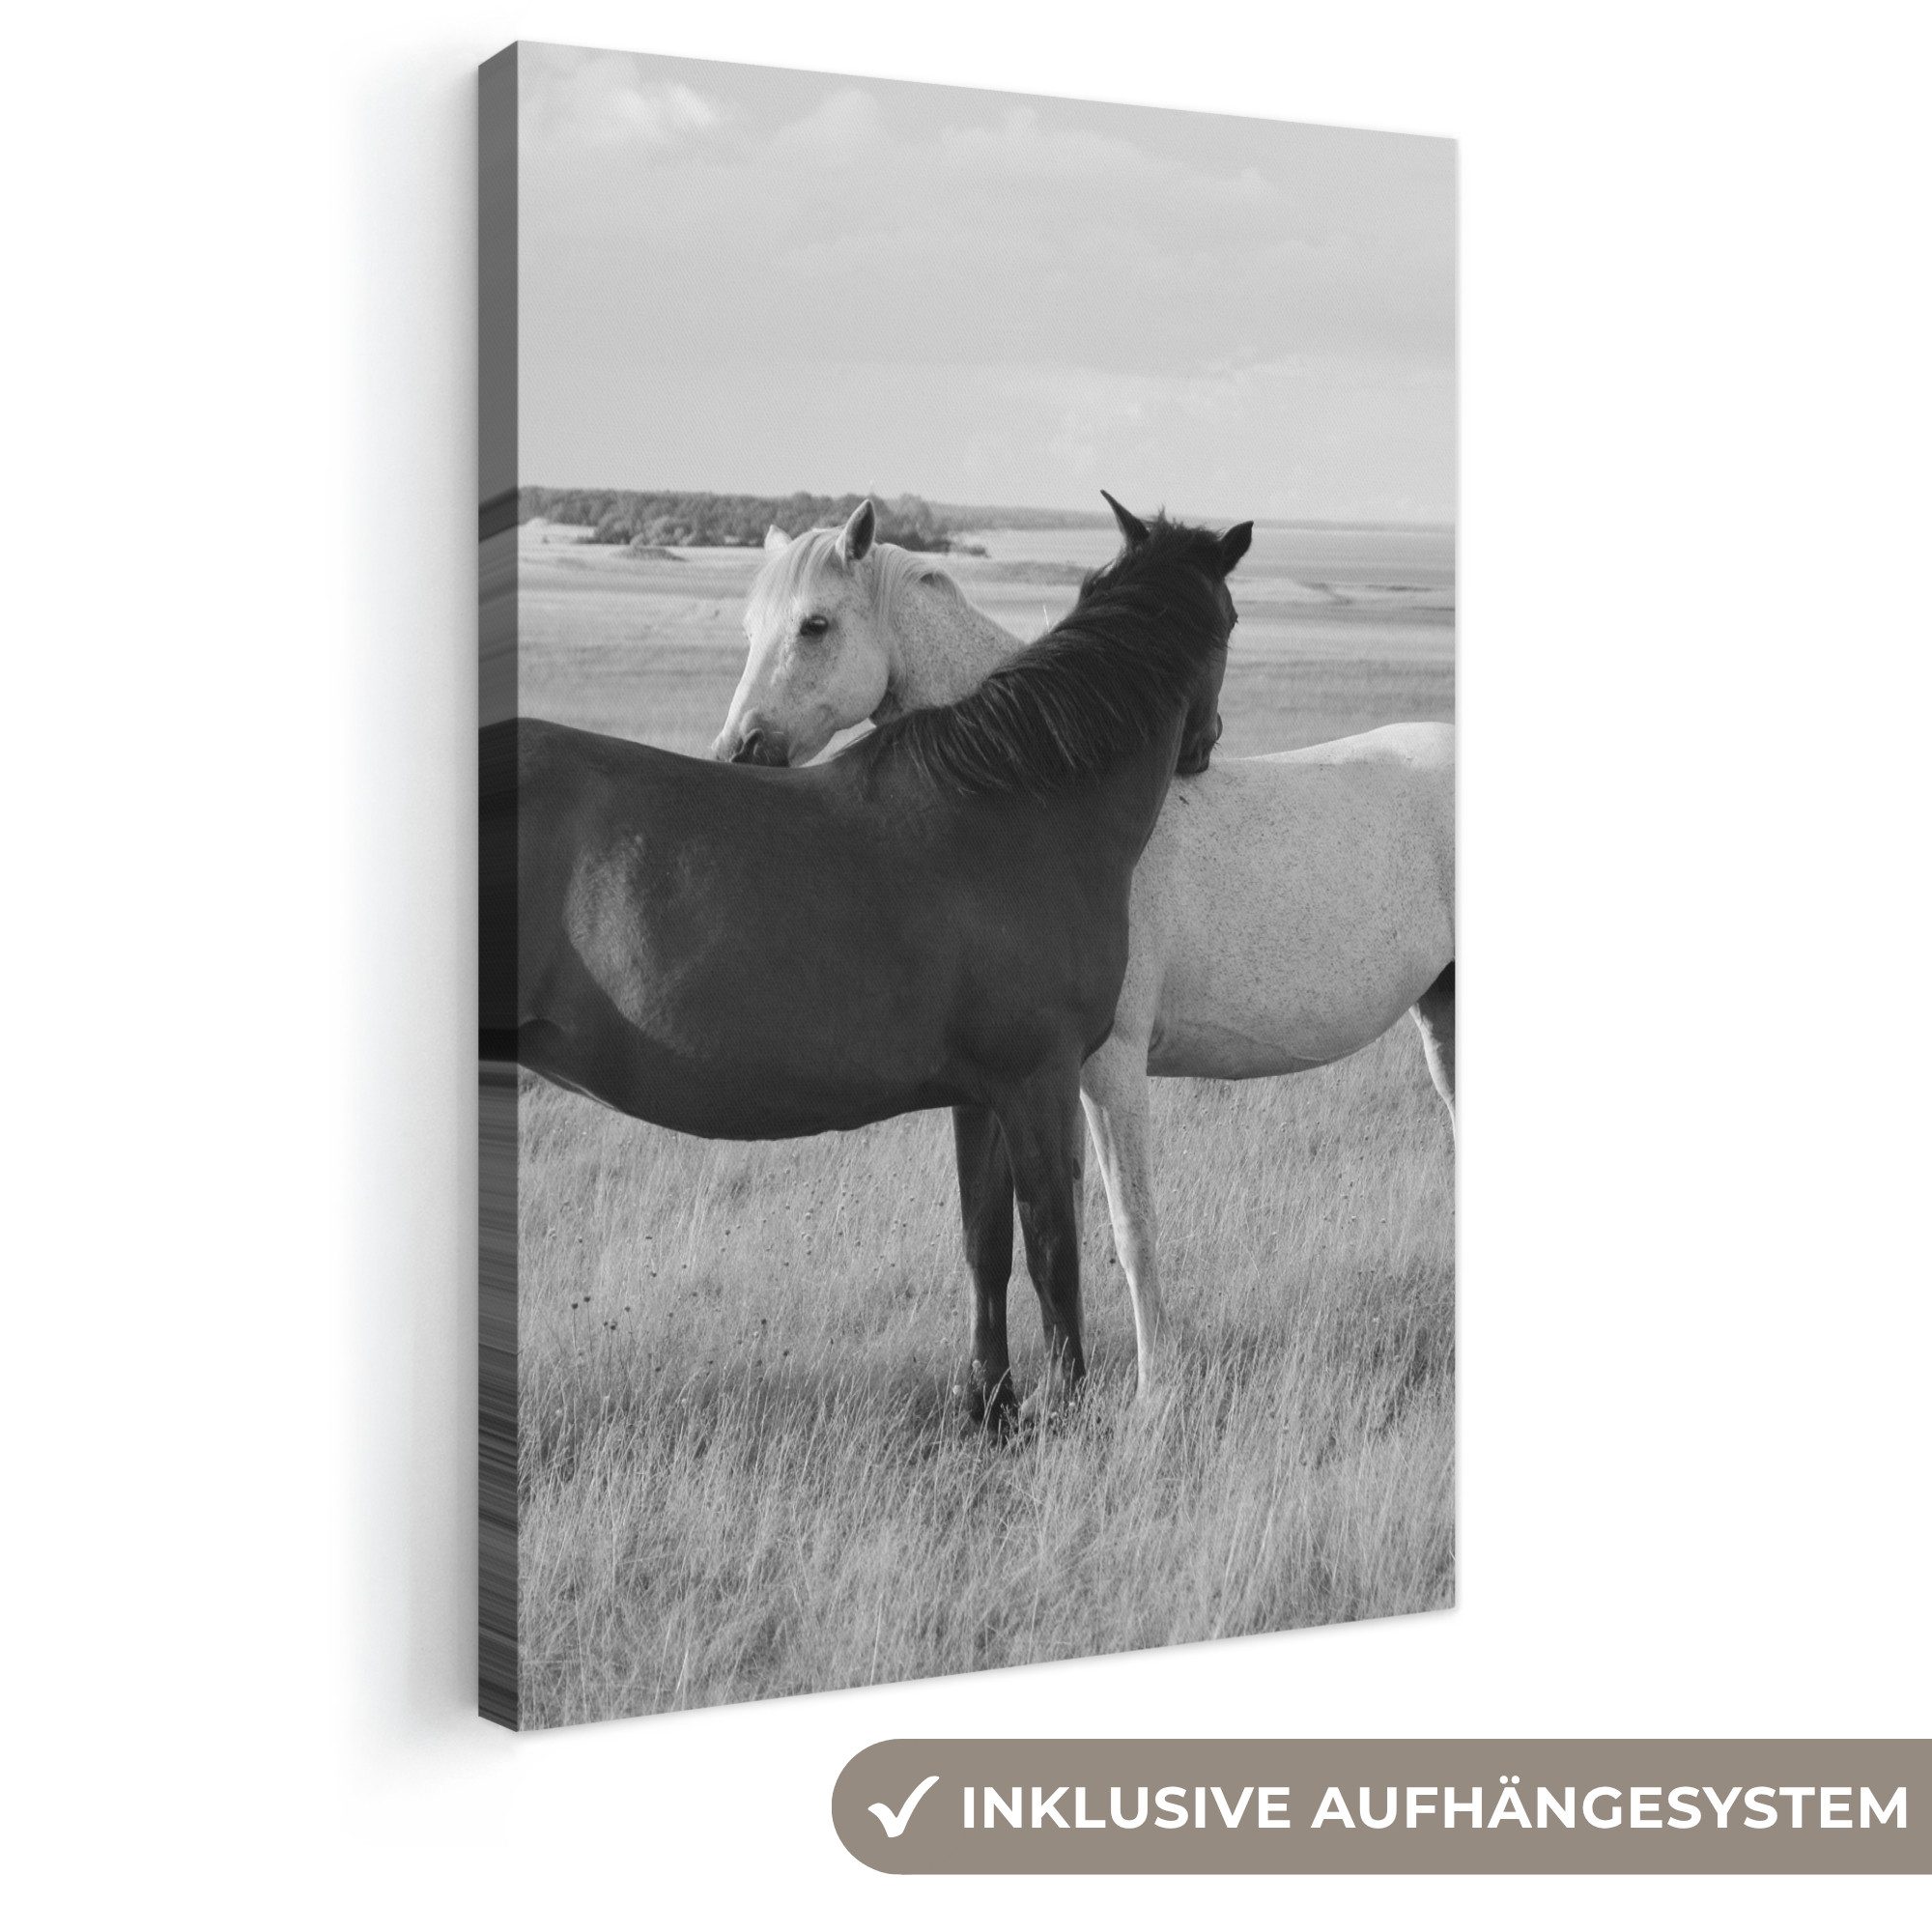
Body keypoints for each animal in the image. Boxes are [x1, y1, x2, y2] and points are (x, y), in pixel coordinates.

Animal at [483, 506, 1244, 1423]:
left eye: (812, 626)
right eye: (1234, 621)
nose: (1205, 746)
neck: (1022, 800)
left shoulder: (981, 1093)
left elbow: (985, 1243)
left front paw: (991, 1406)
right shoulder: (1041, 1078)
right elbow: (1053, 1247)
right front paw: (1068, 1408)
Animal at [714, 494, 1453, 1401]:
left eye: (814, 625)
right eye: (751, 627)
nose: (739, 750)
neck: (1048, 794)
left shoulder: (1106, 1069)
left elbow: (1127, 1229)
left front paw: (1154, 1391)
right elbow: (998, 1236)